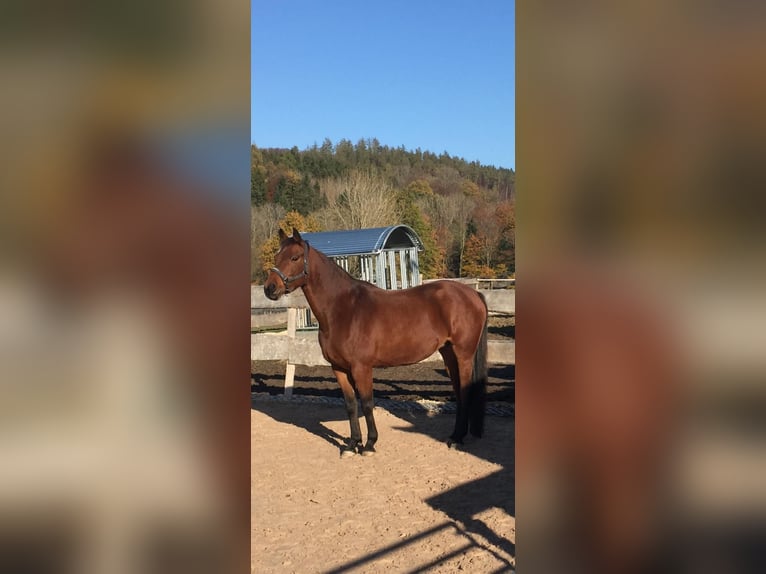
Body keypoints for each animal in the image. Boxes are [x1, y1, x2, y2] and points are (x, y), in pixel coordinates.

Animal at [268, 230, 488, 460]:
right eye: (276, 257)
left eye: (294, 257)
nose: (270, 288)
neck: (343, 309)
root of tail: (473, 294)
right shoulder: (339, 368)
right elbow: (350, 405)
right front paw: (352, 444)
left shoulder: (361, 368)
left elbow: (367, 404)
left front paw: (369, 444)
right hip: (449, 354)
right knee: (459, 393)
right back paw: (455, 435)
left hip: (463, 355)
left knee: (465, 393)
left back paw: (458, 439)